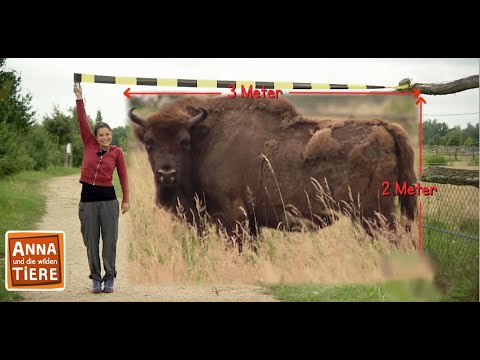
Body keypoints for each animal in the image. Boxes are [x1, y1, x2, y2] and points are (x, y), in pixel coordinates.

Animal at [129, 95, 418, 248]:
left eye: (184, 142)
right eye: (149, 142)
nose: (166, 174)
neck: (206, 137)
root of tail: (385, 127)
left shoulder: (233, 218)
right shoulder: (251, 222)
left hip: (373, 215)